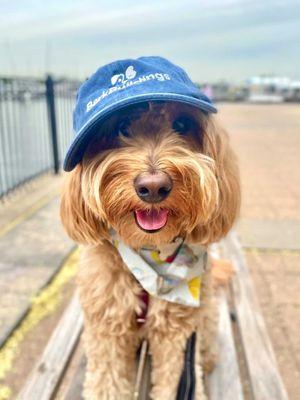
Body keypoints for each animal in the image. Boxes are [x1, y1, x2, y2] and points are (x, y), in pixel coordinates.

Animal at [59, 95, 240, 398]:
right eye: (121, 126)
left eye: (182, 124)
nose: (154, 187)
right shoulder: (107, 327)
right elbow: (107, 383)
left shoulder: (177, 335)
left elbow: (173, 380)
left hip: (204, 318)